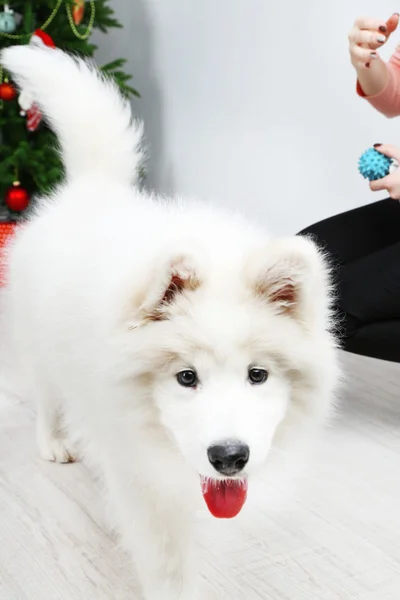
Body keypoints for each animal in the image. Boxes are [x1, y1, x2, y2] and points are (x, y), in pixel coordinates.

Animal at [1, 45, 340, 600]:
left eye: (258, 375)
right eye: (186, 377)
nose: (230, 457)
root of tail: (91, 190)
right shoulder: (137, 475)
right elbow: (166, 562)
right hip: (41, 345)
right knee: (48, 399)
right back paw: (54, 442)